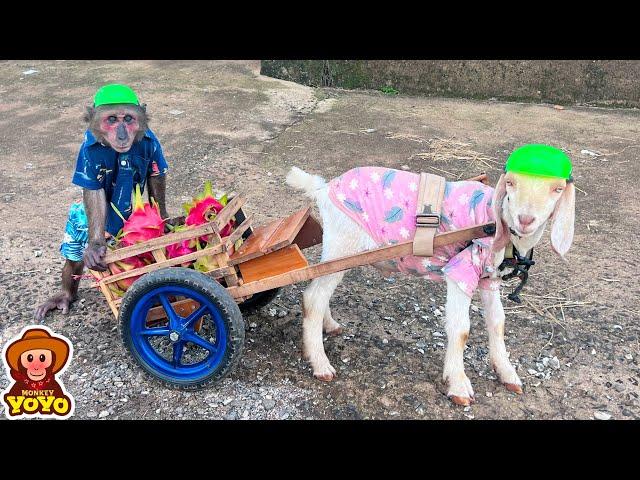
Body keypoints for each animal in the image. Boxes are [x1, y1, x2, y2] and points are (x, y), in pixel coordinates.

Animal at [34, 84, 170, 320]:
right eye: (112, 119)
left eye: (128, 118)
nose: (122, 135)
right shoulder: (87, 153)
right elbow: (94, 192)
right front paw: (96, 246)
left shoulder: (152, 143)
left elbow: (156, 175)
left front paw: (164, 221)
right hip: (79, 224)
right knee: (74, 255)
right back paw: (66, 294)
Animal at [284, 165, 576, 404]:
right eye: (511, 183)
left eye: (557, 188)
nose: (525, 220)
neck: (494, 226)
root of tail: (323, 189)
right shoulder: (461, 269)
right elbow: (461, 329)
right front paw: (459, 386)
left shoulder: (488, 279)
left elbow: (498, 323)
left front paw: (507, 373)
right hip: (343, 243)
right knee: (313, 297)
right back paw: (320, 364)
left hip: (340, 252)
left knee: (320, 289)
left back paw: (329, 325)